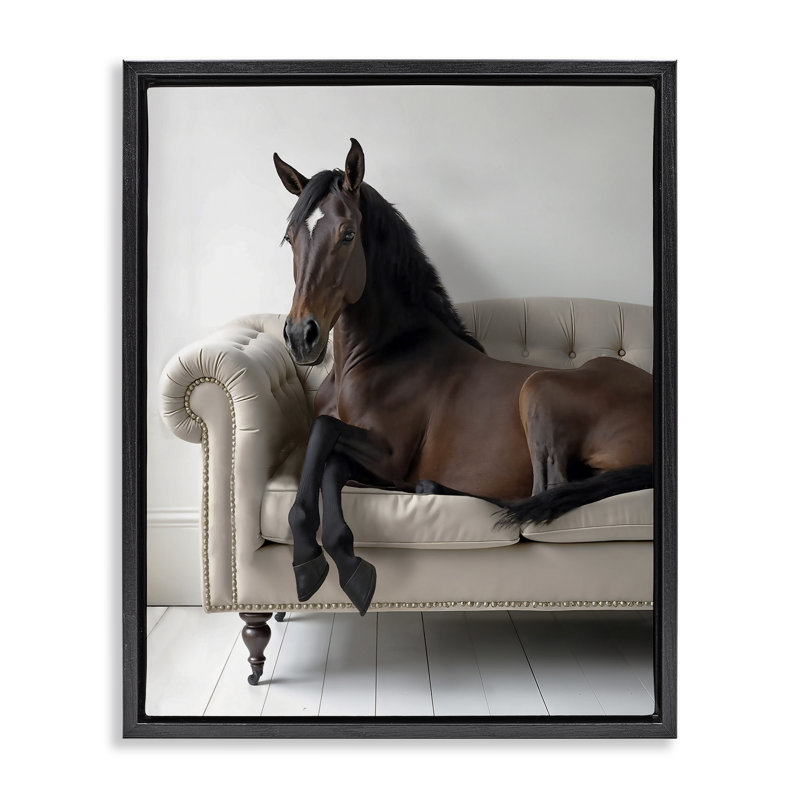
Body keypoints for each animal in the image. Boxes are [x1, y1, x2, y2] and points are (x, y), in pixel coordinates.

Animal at [273, 138, 653, 616]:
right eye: (290, 238)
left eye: (348, 234)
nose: (301, 336)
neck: (379, 356)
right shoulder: (371, 461)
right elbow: (326, 456)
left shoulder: (389, 455)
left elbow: (323, 435)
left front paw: (325, 559)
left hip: (538, 389)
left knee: (543, 493)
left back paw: (430, 487)